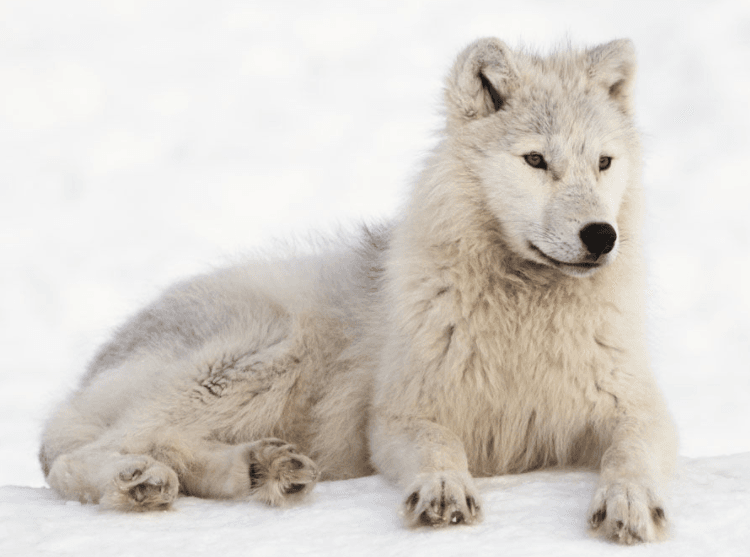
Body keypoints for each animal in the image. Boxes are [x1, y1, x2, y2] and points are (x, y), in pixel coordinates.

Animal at [40, 38, 677, 544]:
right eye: (536, 160)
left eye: (604, 162)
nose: (601, 235)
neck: (527, 313)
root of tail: (87, 375)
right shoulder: (399, 417)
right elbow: (438, 448)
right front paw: (442, 488)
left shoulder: (638, 410)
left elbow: (630, 454)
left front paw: (629, 503)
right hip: (270, 349)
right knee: (79, 456)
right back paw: (141, 482)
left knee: (159, 443)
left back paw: (262, 468)